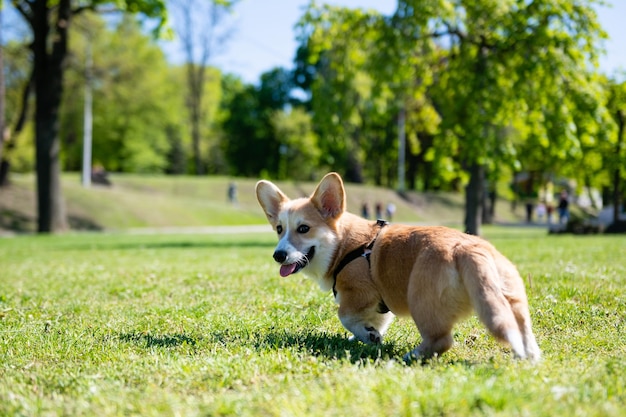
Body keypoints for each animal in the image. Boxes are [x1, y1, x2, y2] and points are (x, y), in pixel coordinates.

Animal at [256, 172, 540, 360]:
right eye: (279, 229)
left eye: (303, 228)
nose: (278, 256)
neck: (345, 244)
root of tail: (469, 249)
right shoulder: (380, 303)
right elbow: (376, 321)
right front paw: (368, 335)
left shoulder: (359, 293)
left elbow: (345, 316)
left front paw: (367, 335)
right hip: (511, 300)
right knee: (523, 331)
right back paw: (530, 356)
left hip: (420, 300)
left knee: (442, 340)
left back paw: (411, 356)